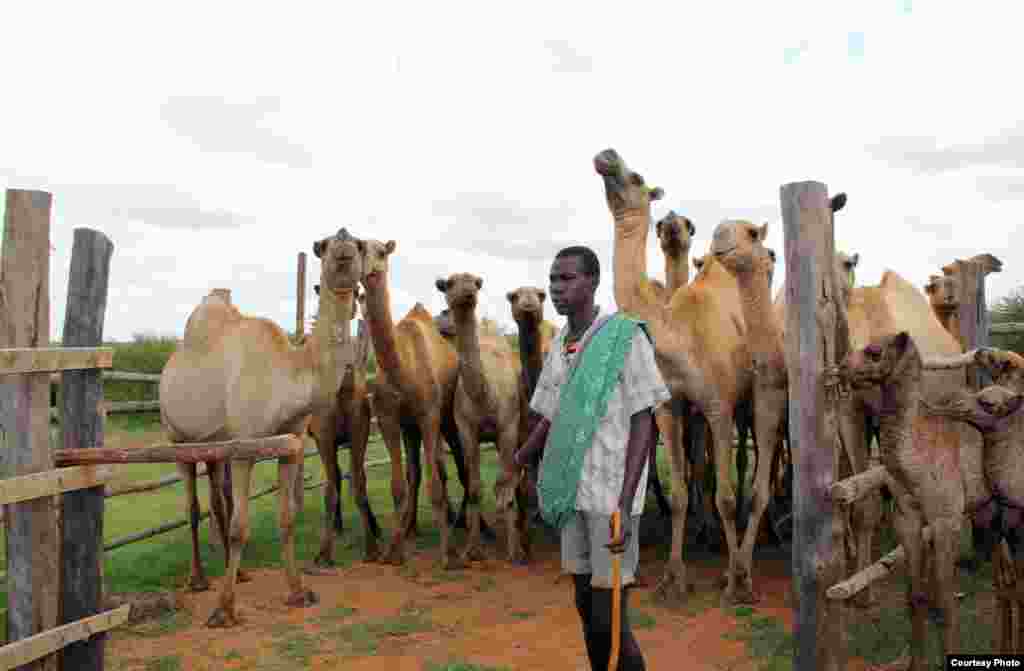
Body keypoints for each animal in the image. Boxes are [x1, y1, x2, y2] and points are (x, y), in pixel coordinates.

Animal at [157, 229, 366, 622]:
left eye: (360, 244)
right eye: (323, 245)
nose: (344, 241)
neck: (289, 375)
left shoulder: (291, 446)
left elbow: (287, 518)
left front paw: (298, 591)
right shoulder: (246, 448)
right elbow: (241, 527)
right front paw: (224, 609)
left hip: (217, 446)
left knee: (217, 499)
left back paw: (238, 573)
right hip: (177, 438)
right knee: (193, 506)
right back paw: (198, 579)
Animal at [434, 272, 528, 561]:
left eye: (475, 282)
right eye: (450, 283)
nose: (468, 293)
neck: (485, 396)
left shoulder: (508, 427)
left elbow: (506, 480)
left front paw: (514, 552)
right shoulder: (466, 430)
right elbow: (475, 486)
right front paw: (471, 550)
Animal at [839, 333, 966, 671]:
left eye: (874, 352)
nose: (841, 367)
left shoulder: (946, 518)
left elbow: (946, 603)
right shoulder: (908, 516)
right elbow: (915, 594)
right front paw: (914, 662)